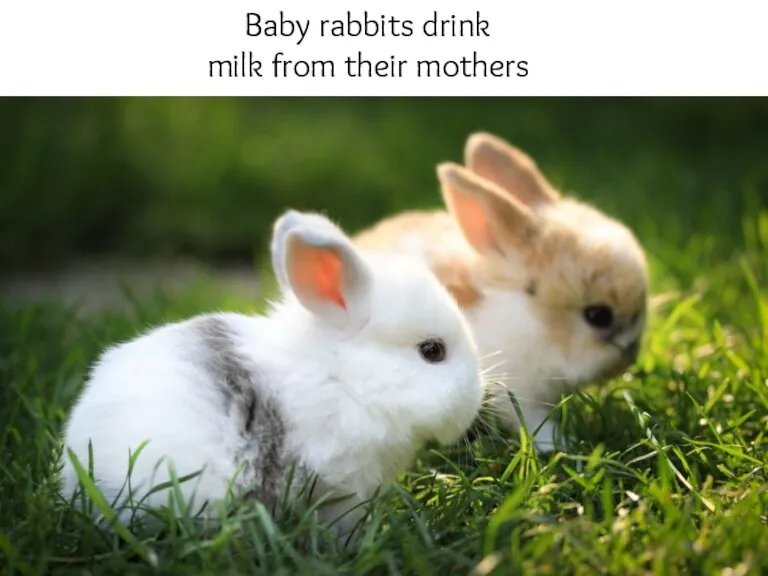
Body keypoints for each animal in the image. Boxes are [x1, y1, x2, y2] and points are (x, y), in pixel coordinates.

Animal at [354, 133, 648, 452]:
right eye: (598, 315)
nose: (630, 356)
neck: (530, 318)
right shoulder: (516, 391)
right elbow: (533, 421)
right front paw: (561, 444)